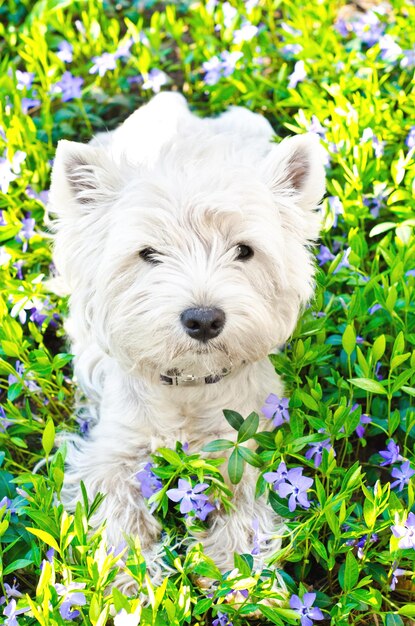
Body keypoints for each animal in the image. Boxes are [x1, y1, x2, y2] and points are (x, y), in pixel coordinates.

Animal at [48, 91, 326, 584]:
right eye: (148, 254)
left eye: (244, 251)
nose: (203, 319)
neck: (190, 385)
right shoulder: (111, 452)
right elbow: (117, 517)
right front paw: (132, 586)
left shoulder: (245, 445)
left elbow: (246, 513)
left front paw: (239, 580)